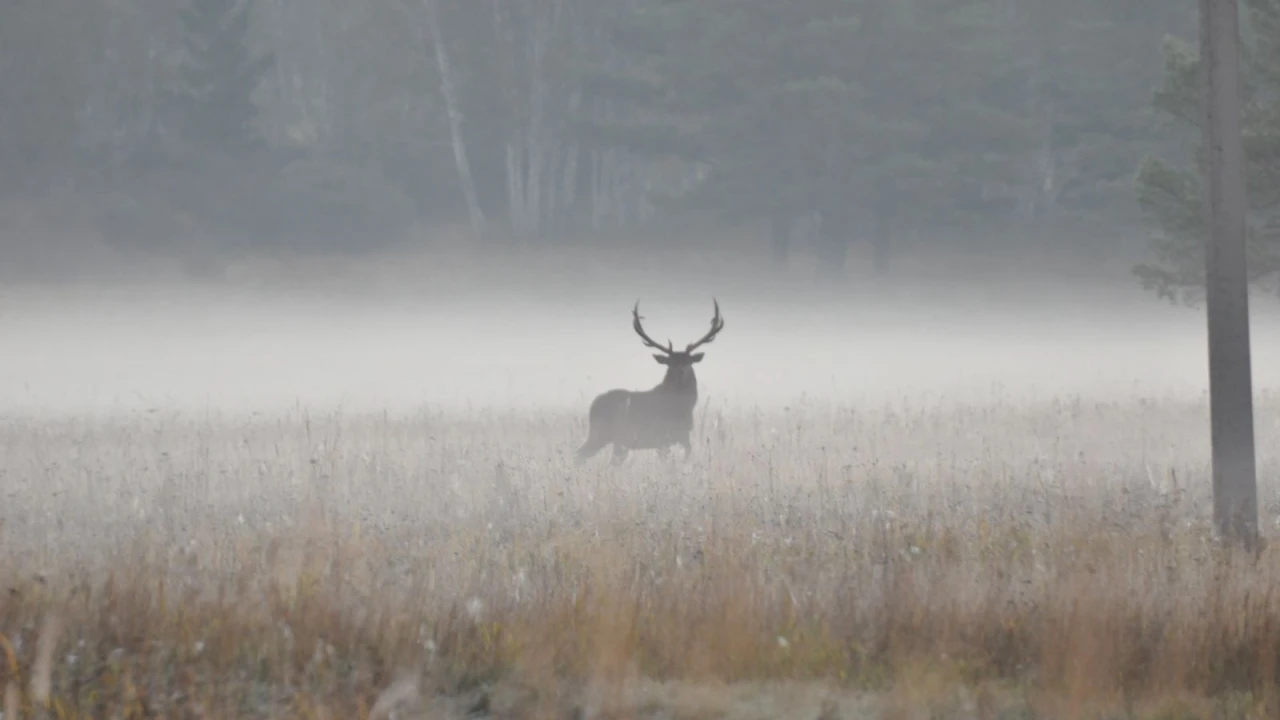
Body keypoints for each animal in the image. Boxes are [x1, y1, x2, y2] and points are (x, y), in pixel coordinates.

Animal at [578, 298, 727, 461]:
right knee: (579, 454)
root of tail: (593, 406)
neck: (683, 407)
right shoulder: (661, 437)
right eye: (670, 362)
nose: (681, 371)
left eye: (689, 361)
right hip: (603, 433)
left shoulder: (683, 435)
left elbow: (688, 453)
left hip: (614, 438)